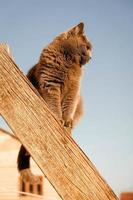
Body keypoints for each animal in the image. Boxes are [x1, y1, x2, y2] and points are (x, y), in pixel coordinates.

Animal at [17, 22, 92, 182]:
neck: (69, 62)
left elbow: (69, 106)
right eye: (87, 47)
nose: (91, 57)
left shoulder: (74, 91)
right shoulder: (51, 84)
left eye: (90, 48)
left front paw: (66, 121)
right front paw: (58, 118)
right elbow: (54, 104)